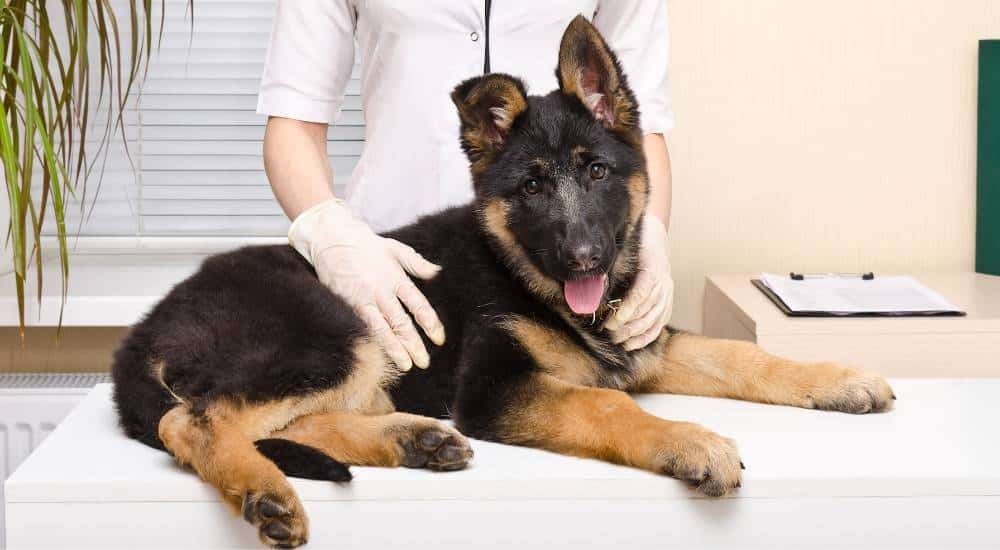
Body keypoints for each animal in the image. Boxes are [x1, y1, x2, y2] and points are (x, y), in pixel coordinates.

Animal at [113, 16, 896, 548]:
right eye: (531, 187)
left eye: (596, 171)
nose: (583, 258)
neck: (525, 275)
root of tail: (144, 329)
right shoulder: (494, 388)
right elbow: (608, 406)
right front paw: (690, 441)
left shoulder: (643, 345)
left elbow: (741, 354)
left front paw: (839, 378)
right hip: (334, 329)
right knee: (196, 419)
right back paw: (265, 490)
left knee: (288, 420)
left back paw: (411, 441)